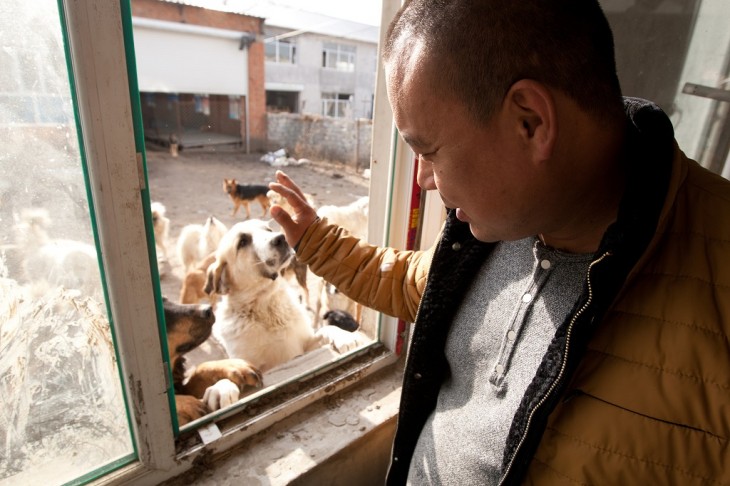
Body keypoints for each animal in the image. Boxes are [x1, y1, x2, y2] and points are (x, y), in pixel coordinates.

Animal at [203, 220, 362, 372]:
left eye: (268, 230)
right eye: (242, 242)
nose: (281, 238)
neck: (266, 306)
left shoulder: (304, 346)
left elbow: (326, 329)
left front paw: (345, 337)